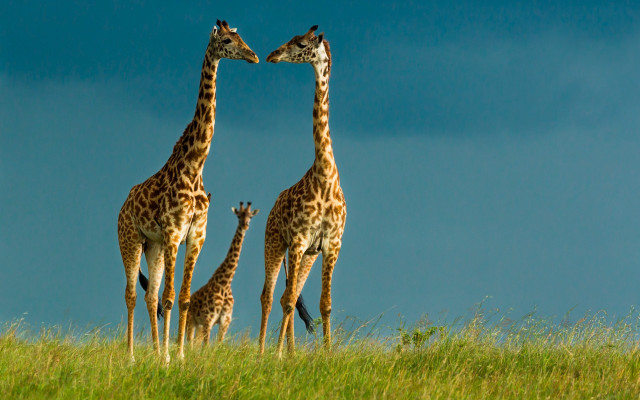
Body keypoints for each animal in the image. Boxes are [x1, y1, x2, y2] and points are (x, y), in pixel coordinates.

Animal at [185, 202, 259, 345]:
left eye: (251, 217)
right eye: (239, 216)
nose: (245, 226)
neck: (225, 283)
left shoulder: (225, 320)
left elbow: (218, 344)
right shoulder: (209, 318)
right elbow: (206, 345)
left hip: (199, 325)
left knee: (194, 344)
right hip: (191, 321)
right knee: (189, 342)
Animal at [259, 26, 347, 356]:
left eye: (300, 43)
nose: (272, 55)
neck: (325, 177)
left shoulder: (331, 245)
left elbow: (326, 304)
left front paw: (328, 354)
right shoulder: (296, 241)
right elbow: (285, 302)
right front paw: (277, 355)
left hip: (307, 254)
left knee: (291, 295)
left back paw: (291, 352)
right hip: (274, 243)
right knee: (271, 296)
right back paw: (266, 352)